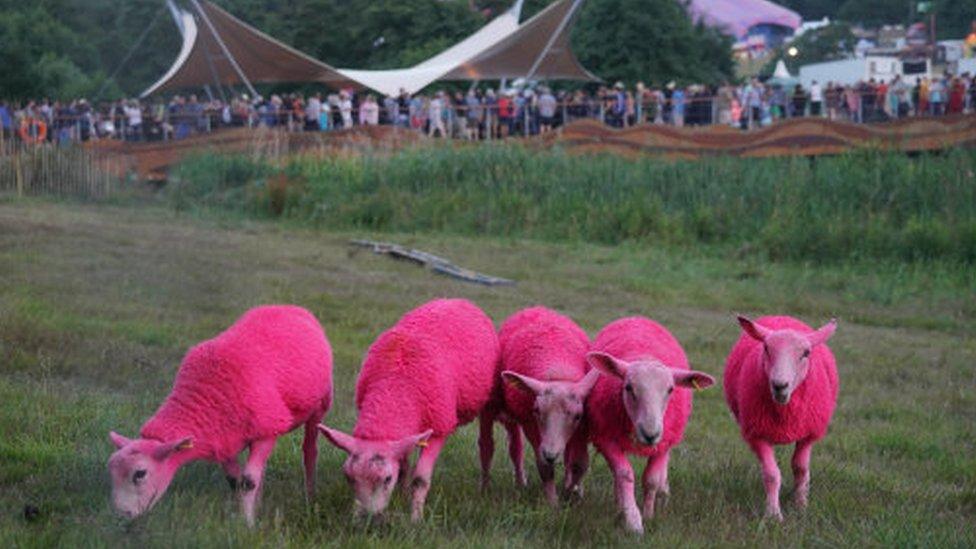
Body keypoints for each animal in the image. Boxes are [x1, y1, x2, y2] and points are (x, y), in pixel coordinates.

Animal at [106, 306, 334, 524]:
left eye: (140, 474)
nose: (121, 517)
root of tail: (289, 307)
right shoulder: (223, 440)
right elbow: (235, 481)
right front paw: (240, 515)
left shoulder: (266, 429)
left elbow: (248, 481)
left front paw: (247, 524)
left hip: (318, 406)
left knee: (309, 451)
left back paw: (311, 496)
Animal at [320, 298, 500, 520]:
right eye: (348, 477)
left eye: (387, 479)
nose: (367, 519)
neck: (394, 387)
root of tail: (455, 299)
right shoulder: (402, 433)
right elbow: (404, 467)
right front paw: (402, 494)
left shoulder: (439, 426)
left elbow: (420, 479)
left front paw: (416, 517)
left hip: (487, 398)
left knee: (486, 444)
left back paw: (484, 488)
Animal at [480, 306, 604, 504]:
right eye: (537, 411)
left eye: (577, 415)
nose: (551, 455)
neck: (557, 371)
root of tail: (535, 308)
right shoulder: (530, 422)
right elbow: (544, 467)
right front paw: (553, 503)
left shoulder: (582, 427)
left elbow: (579, 463)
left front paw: (572, 492)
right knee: (491, 446)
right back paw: (487, 489)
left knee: (518, 448)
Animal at [588, 314, 716, 532]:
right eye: (628, 387)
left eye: (671, 389)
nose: (650, 434)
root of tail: (637, 317)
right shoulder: (605, 437)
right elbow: (624, 475)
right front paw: (632, 520)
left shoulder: (664, 442)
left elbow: (651, 480)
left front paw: (649, 515)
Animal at [724, 314, 840, 520]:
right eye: (766, 348)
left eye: (806, 353)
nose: (780, 386)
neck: (785, 414)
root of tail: (782, 317)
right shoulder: (757, 433)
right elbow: (771, 475)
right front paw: (773, 514)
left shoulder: (808, 433)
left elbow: (800, 469)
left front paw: (801, 505)